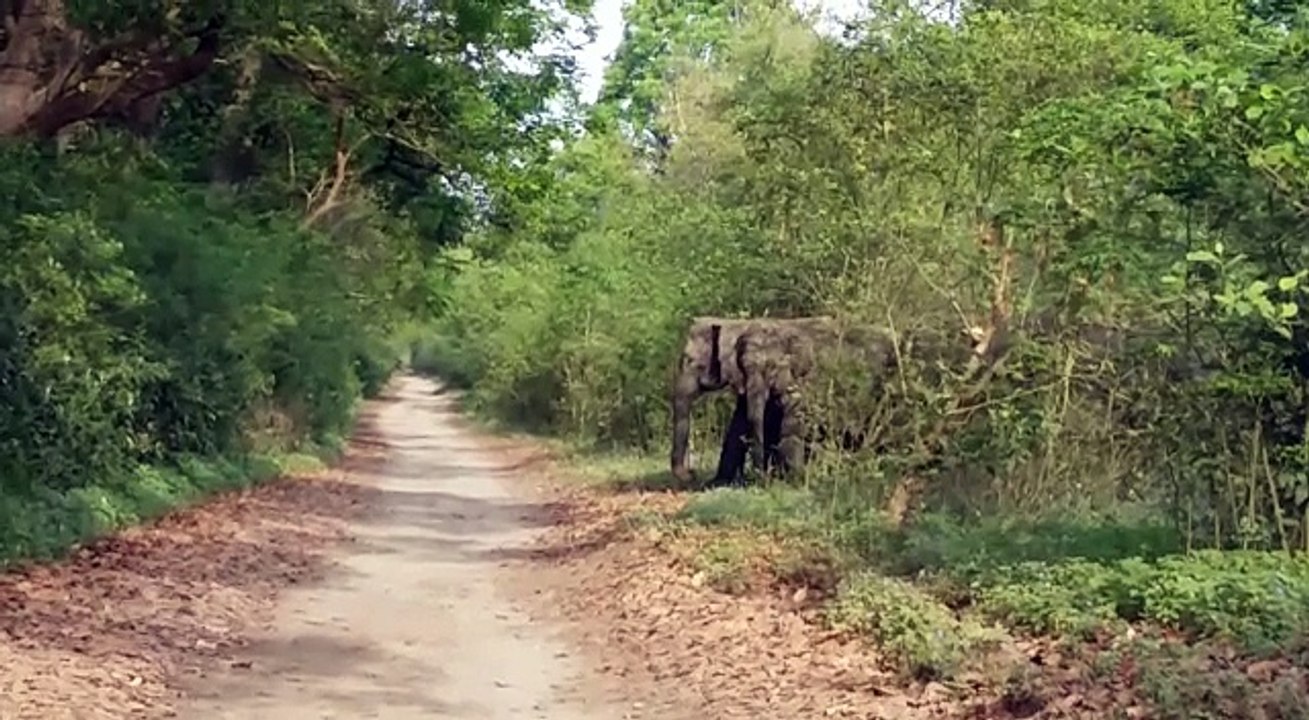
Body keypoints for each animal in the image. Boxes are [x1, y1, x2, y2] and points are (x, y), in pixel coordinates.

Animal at [669, 316, 832, 484]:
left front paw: (792, 479)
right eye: (743, 366)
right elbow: (738, 424)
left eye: (695, 364)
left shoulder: (804, 380)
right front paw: (716, 483)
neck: (738, 325)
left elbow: (792, 423)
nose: (691, 473)